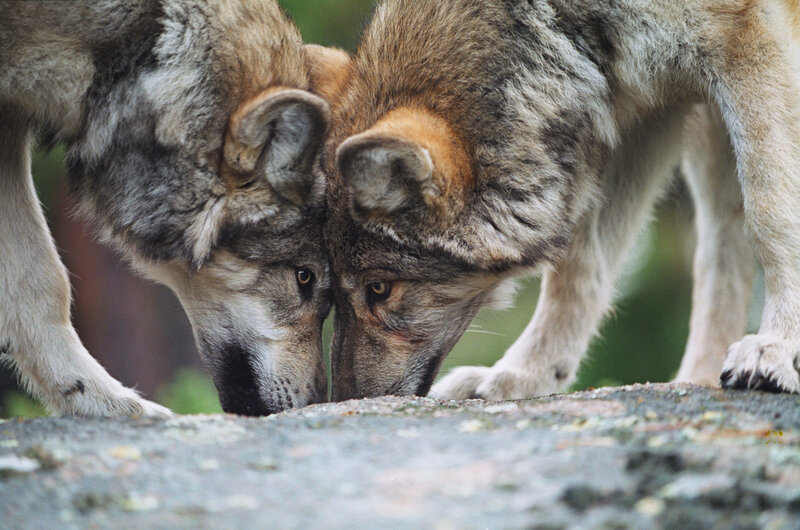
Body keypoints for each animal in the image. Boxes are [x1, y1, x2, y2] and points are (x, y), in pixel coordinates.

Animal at [324, 0, 800, 401]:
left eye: (379, 289)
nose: (345, 400)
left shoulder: (744, 37)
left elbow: (772, 215)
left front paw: (778, 345)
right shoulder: (632, 107)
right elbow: (576, 270)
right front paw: (523, 375)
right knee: (719, 248)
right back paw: (695, 381)